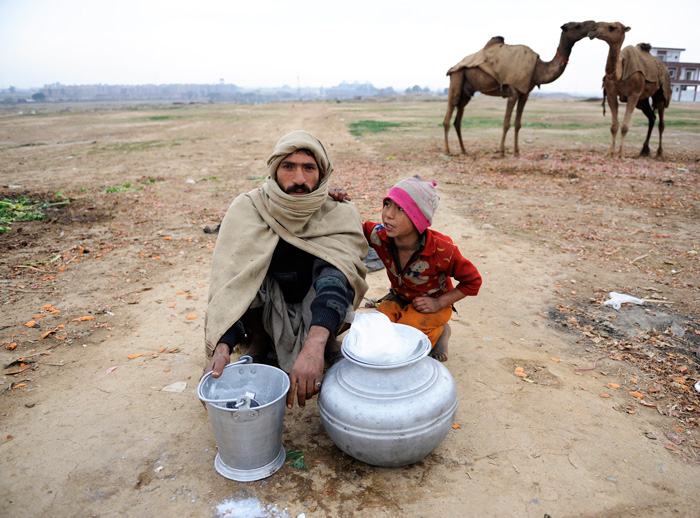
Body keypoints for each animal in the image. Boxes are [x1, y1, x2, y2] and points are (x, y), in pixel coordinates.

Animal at [446, 21, 592, 155]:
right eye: (577, 25)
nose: (592, 24)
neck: (538, 69)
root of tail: (453, 67)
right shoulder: (513, 92)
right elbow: (506, 124)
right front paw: (501, 152)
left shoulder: (524, 94)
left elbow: (518, 124)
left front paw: (517, 152)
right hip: (457, 77)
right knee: (449, 113)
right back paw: (448, 151)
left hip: (466, 93)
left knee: (458, 119)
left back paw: (464, 150)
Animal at [588, 21, 668, 158]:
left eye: (612, 27)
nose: (592, 30)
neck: (620, 74)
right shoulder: (611, 94)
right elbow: (614, 126)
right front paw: (610, 152)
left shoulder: (633, 94)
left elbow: (625, 126)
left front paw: (621, 154)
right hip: (643, 100)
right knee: (652, 118)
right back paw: (644, 150)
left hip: (660, 93)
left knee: (661, 122)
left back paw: (659, 153)